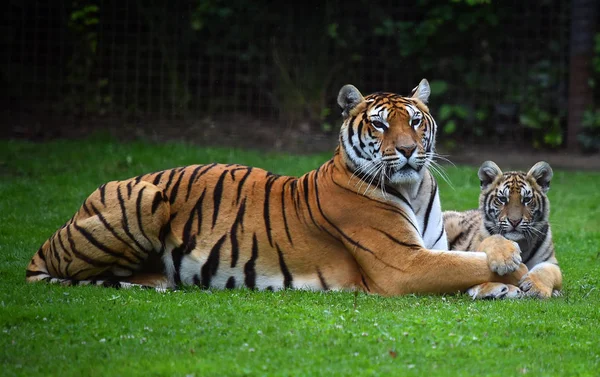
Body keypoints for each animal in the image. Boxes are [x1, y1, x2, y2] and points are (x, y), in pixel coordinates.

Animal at [27, 80, 524, 296]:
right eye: (381, 125)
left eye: (416, 122)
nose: (406, 151)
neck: (415, 190)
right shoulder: (404, 265)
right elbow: (467, 263)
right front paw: (511, 264)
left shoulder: (430, 248)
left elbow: (468, 260)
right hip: (146, 195)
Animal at [442, 160, 560, 298]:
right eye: (502, 199)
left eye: (526, 199)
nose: (514, 221)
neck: (520, 242)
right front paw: (505, 262)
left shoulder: (550, 262)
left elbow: (545, 271)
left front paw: (535, 288)